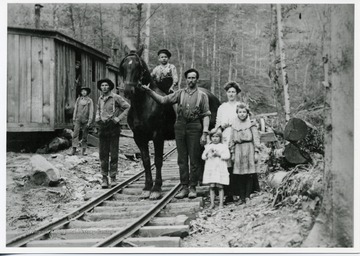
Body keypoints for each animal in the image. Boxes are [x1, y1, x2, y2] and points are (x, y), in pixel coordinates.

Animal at [119, 48, 221, 200]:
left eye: (138, 66)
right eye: (124, 66)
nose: (127, 90)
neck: (144, 104)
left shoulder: (158, 136)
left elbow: (158, 161)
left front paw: (156, 189)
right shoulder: (139, 138)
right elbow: (146, 161)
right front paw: (146, 188)